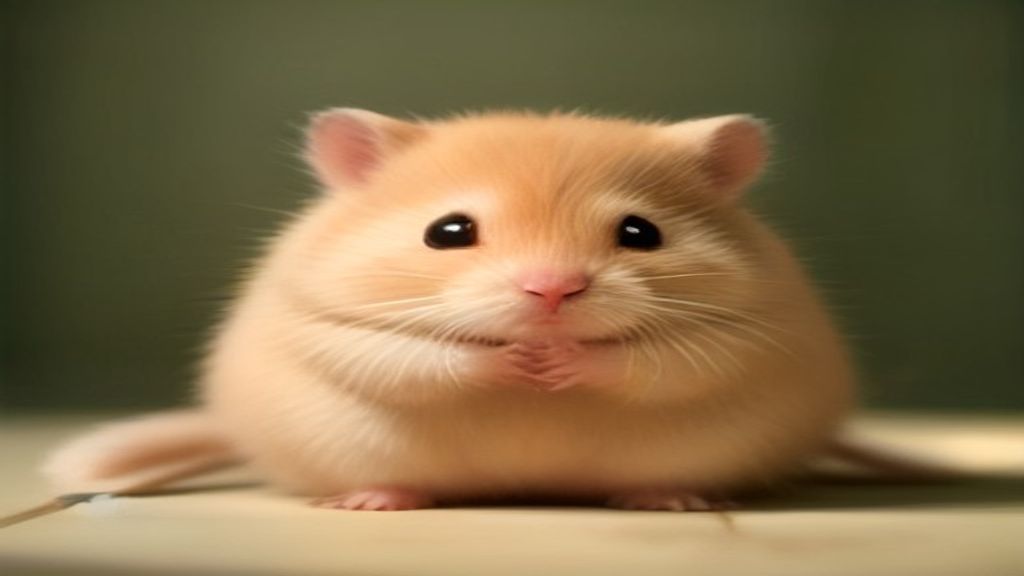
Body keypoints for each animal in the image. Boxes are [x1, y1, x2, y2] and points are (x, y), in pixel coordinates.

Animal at [43, 109, 854, 511]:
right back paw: (371, 502)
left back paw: (670, 501)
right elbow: (427, 357)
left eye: (640, 234)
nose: (551, 290)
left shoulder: (746, 332)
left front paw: (556, 362)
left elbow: (650, 361)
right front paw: (520, 361)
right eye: (448, 232)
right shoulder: (330, 324)